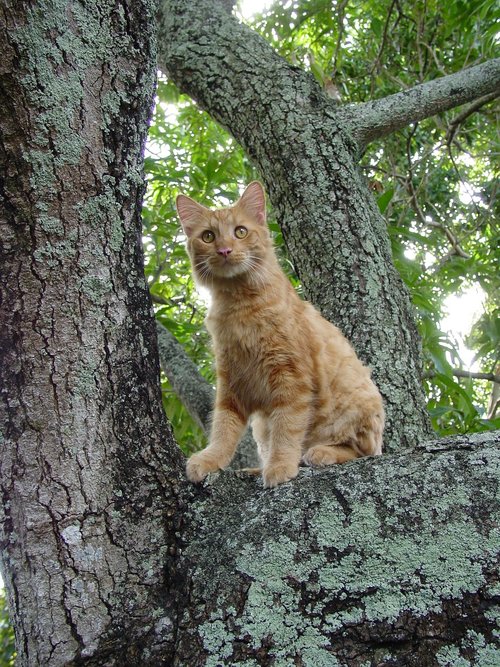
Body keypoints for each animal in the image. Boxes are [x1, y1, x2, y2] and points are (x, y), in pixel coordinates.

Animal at [176, 180, 382, 488]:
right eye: (208, 237)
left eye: (240, 231)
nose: (224, 250)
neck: (240, 307)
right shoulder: (232, 382)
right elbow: (224, 430)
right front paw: (211, 459)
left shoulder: (291, 378)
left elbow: (287, 429)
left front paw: (281, 465)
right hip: (262, 424)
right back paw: (257, 468)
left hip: (358, 407)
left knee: (359, 451)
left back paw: (318, 453)